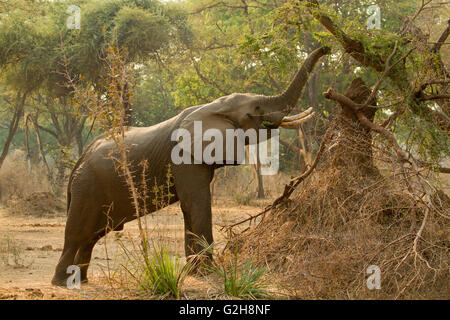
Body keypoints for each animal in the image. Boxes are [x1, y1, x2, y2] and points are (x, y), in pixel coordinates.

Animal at [51, 45, 328, 284]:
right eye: (255, 109)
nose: (326, 48)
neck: (213, 106)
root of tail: (81, 158)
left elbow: (190, 206)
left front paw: (194, 272)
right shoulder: (183, 156)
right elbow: (197, 202)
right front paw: (208, 272)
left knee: (93, 235)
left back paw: (81, 280)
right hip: (87, 185)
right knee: (77, 232)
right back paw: (62, 282)